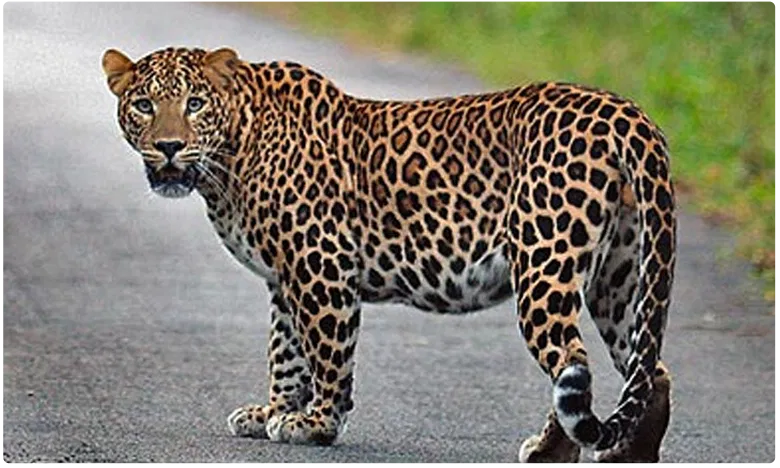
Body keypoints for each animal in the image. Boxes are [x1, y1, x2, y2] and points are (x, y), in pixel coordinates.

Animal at [102, 46, 676, 463]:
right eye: (144, 105)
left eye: (195, 104)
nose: (169, 147)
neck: (231, 156)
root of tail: (624, 111)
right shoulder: (283, 279)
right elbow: (285, 352)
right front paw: (272, 411)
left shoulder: (321, 264)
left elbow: (327, 353)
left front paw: (318, 425)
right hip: (621, 276)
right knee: (649, 371)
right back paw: (627, 455)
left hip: (544, 263)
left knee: (572, 362)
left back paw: (550, 453)